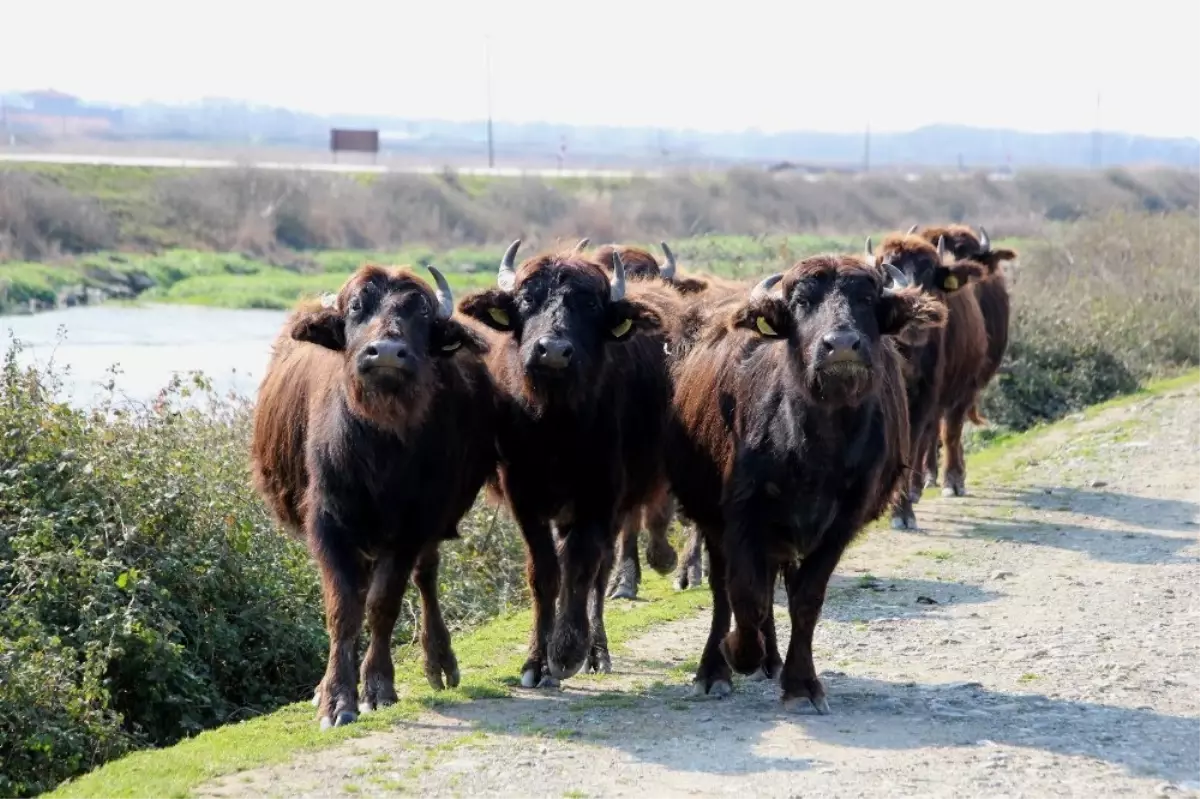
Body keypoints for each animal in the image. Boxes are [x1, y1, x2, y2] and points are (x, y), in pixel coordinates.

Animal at [250, 262, 499, 729]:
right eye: (355, 308)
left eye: (421, 313)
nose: (384, 352)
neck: (379, 449)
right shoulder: (328, 525)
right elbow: (343, 608)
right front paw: (334, 697)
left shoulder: (412, 527)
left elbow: (383, 605)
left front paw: (378, 687)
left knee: (426, 576)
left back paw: (440, 663)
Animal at [667, 251, 945, 705]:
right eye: (801, 303)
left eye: (866, 298)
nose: (842, 346)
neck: (817, 446)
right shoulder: (742, 512)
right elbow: (744, 595)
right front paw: (737, 653)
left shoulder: (842, 523)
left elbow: (806, 598)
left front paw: (801, 681)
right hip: (714, 518)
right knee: (727, 590)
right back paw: (716, 668)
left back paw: (772, 660)